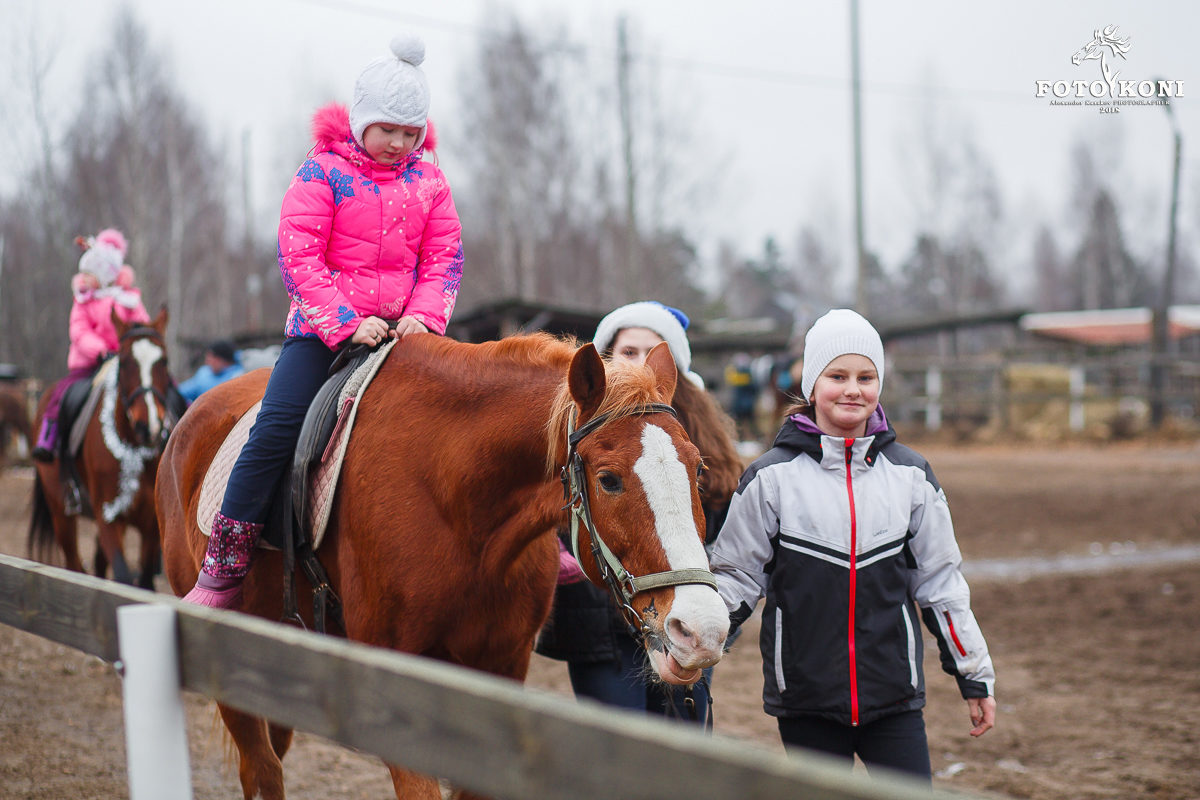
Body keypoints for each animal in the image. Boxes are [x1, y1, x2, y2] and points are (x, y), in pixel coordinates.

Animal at [29, 309, 174, 592]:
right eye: (125, 362)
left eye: (163, 361)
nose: (148, 426)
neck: (134, 449)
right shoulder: (108, 516)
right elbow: (123, 577)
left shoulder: (151, 524)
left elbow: (145, 581)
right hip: (61, 512)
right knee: (74, 565)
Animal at [154, 333, 724, 800]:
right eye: (608, 479)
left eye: (698, 469)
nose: (701, 630)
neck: (459, 506)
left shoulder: (501, 669)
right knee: (263, 772)